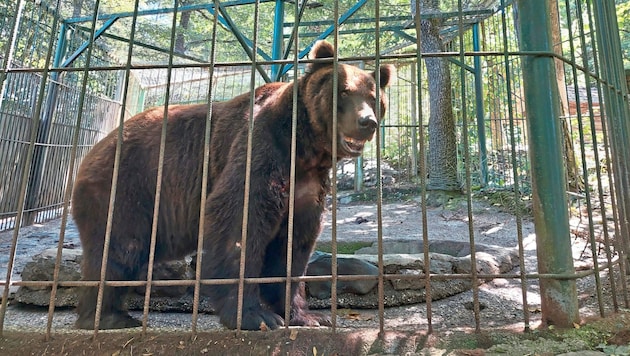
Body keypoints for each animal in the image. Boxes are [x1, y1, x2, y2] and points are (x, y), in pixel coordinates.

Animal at [71, 41, 392, 330]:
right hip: (127, 186)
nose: (367, 122)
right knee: (120, 247)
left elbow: (293, 247)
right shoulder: (260, 147)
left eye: (374, 97)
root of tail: (95, 147)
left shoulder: (307, 186)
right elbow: (239, 221)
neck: (304, 148)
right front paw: (257, 316)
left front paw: (308, 316)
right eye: (345, 91)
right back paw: (108, 317)